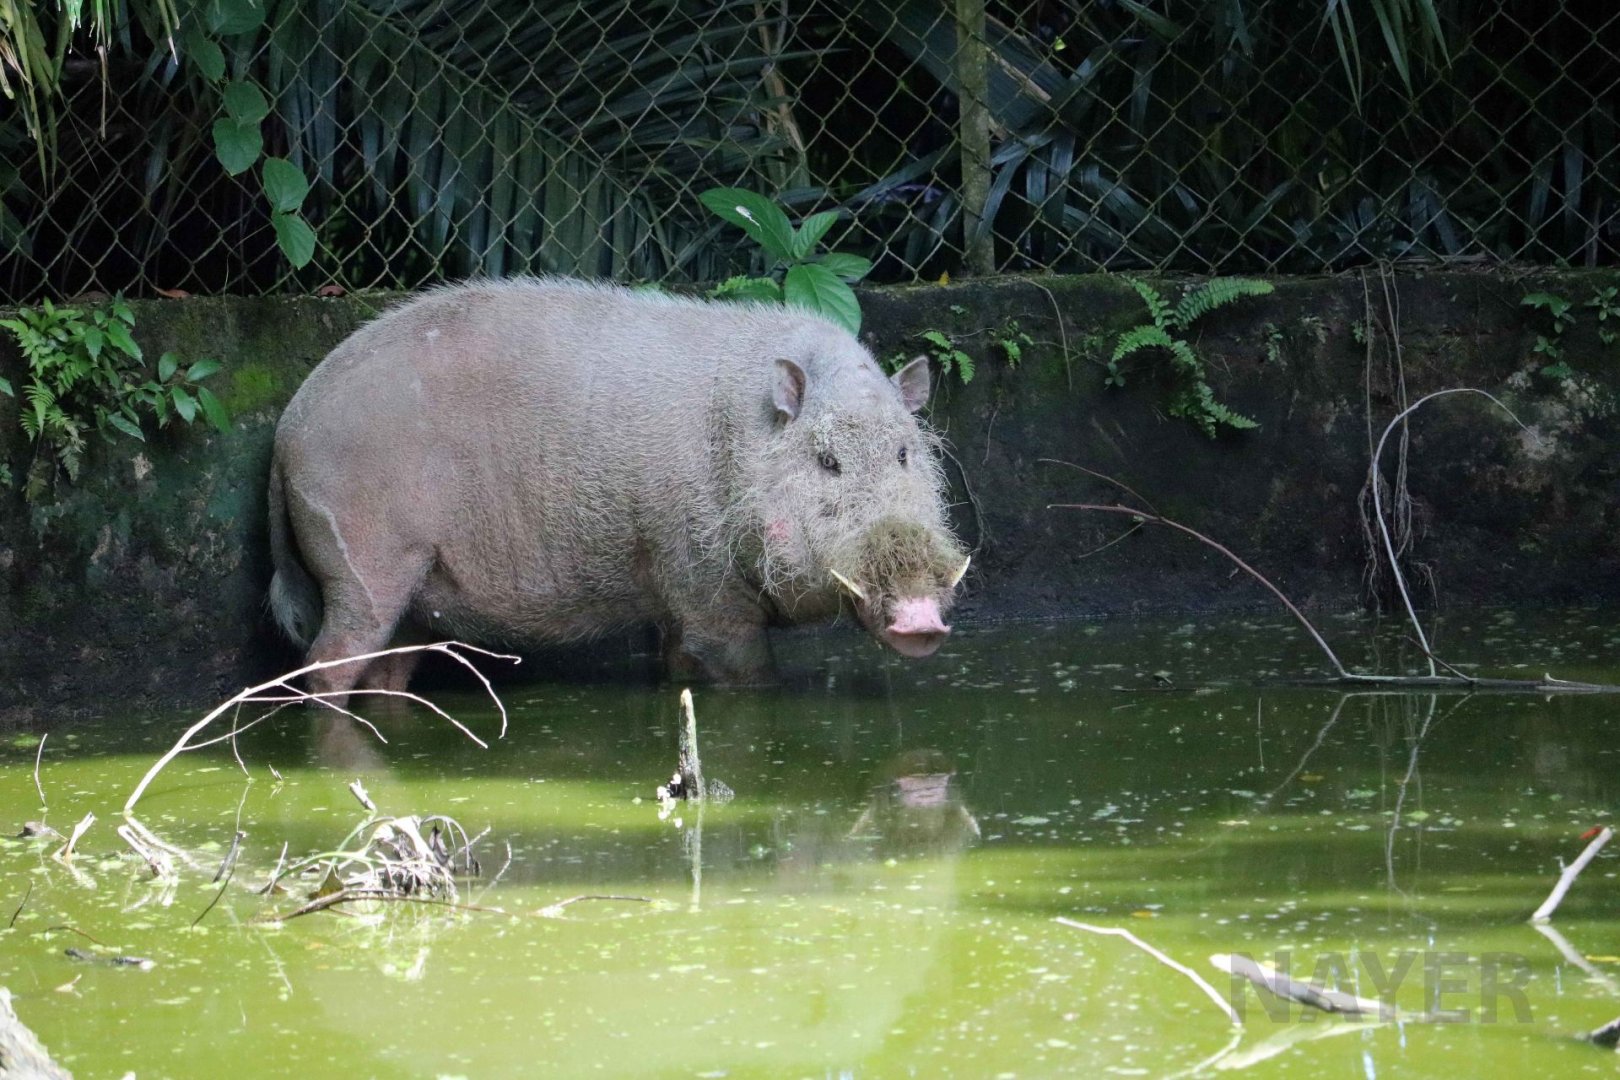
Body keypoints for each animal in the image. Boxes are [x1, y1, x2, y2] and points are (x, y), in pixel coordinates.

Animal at [267, 278, 968, 699]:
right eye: (827, 461)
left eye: (904, 453)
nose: (919, 615)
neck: (738, 441)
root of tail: (287, 427)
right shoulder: (703, 580)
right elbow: (748, 672)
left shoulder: (676, 598)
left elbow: (679, 665)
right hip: (360, 563)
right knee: (327, 662)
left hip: (412, 595)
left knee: (386, 671)